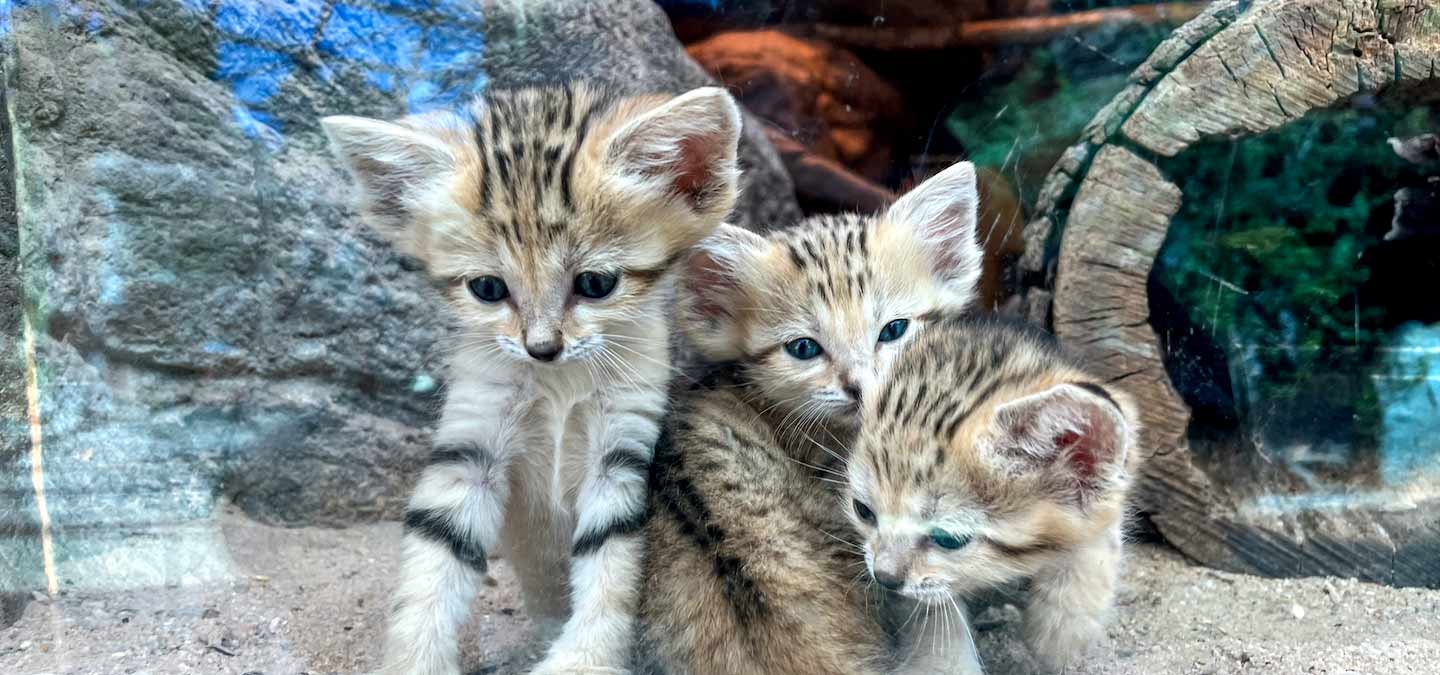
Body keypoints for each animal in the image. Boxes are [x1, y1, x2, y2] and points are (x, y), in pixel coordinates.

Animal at [324, 82, 743, 673]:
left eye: (596, 283)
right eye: (487, 289)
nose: (542, 348)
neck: (558, 386)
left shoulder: (622, 450)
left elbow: (610, 563)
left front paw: (584, 659)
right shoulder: (472, 443)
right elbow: (434, 554)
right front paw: (415, 660)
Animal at [840, 316, 1134, 673]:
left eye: (949, 539)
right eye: (862, 510)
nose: (884, 577)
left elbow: (1096, 539)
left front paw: (1062, 631)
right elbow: (934, 614)